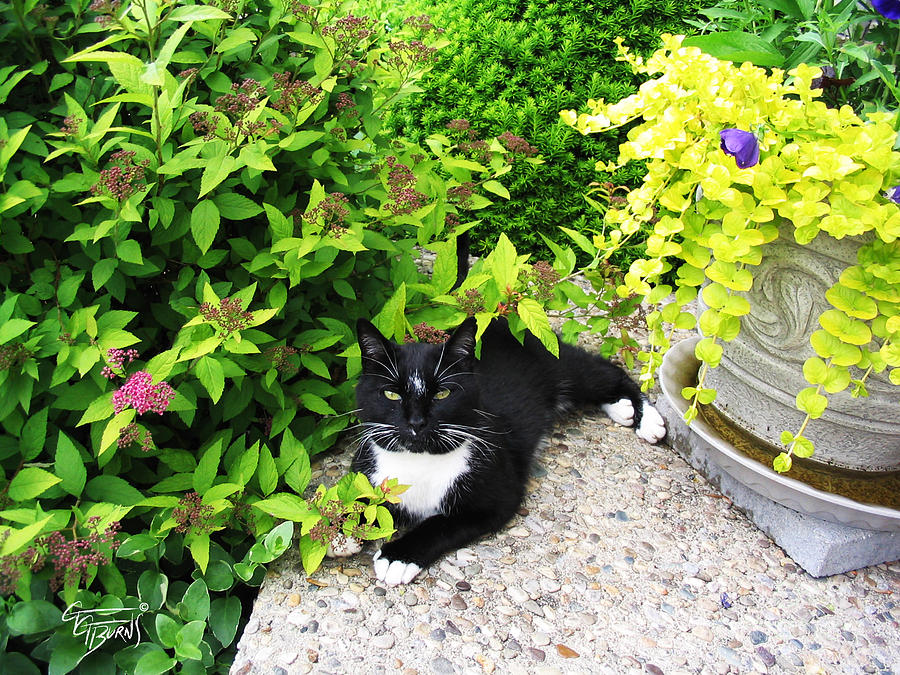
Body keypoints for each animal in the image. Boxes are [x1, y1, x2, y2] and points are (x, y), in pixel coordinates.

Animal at [346, 316, 668, 588]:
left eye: (442, 394)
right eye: (391, 394)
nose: (416, 423)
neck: (419, 460)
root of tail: (504, 319)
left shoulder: (497, 494)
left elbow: (440, 524)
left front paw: (397, 556)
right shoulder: (367, 468)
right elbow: (353, 499)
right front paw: (345, 531)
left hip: (558, 362)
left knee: (605, 372)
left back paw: (646, 418)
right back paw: (623, 409)